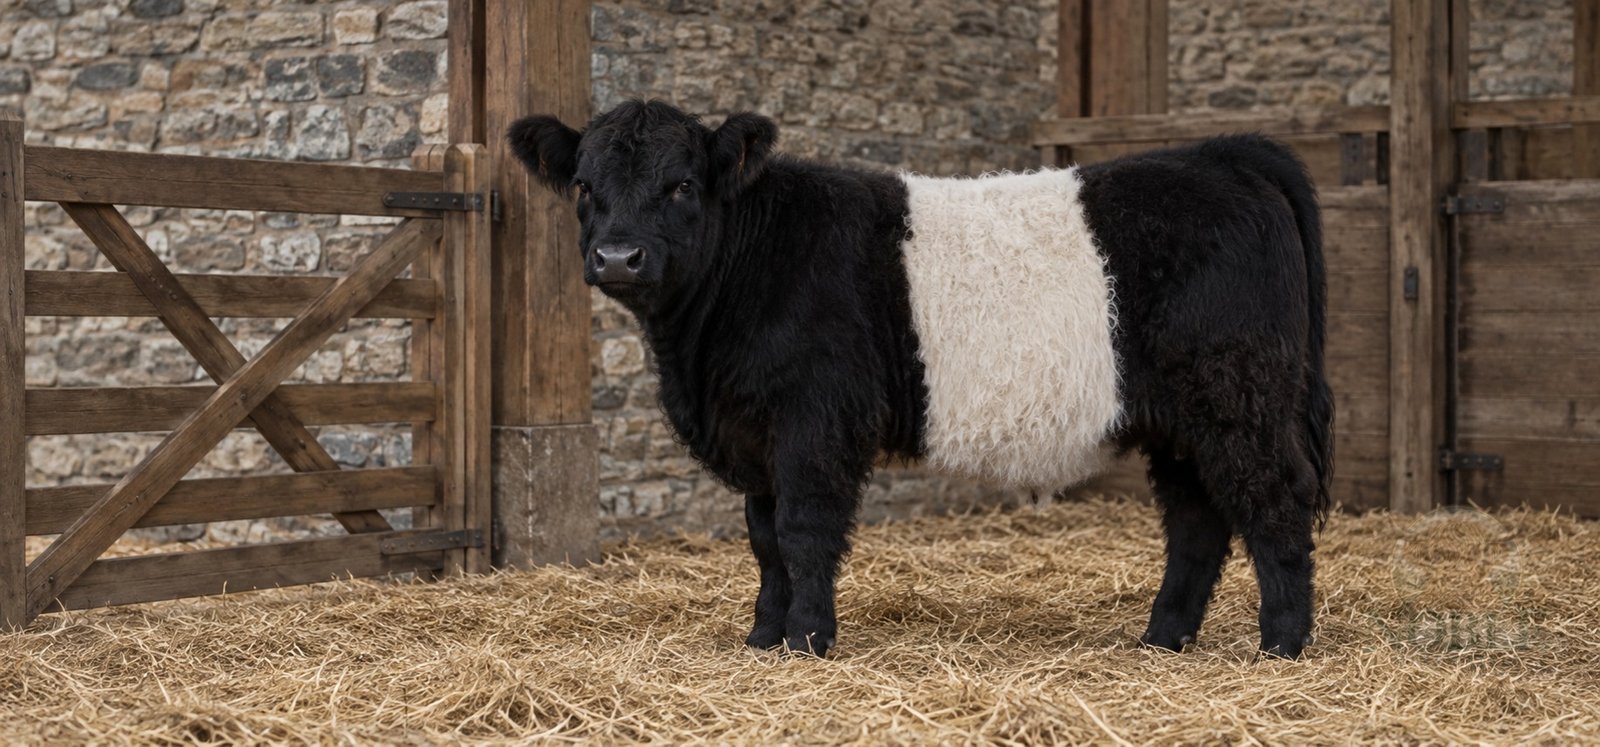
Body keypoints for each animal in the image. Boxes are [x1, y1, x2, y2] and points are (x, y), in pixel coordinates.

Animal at [508, 100, 1333, 660]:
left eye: (682, 184)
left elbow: (804, 532)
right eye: (583, 186)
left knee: (1273, 501)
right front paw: (762, 638)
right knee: (1196, 519)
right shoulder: (757, 432)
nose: (618, 256)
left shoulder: (814, 419)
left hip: (1239, 393)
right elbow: (765, 539)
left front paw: (807, 640)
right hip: (1179, 417)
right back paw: (1162, 638)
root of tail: (1221, 154)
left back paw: (1281, 646)